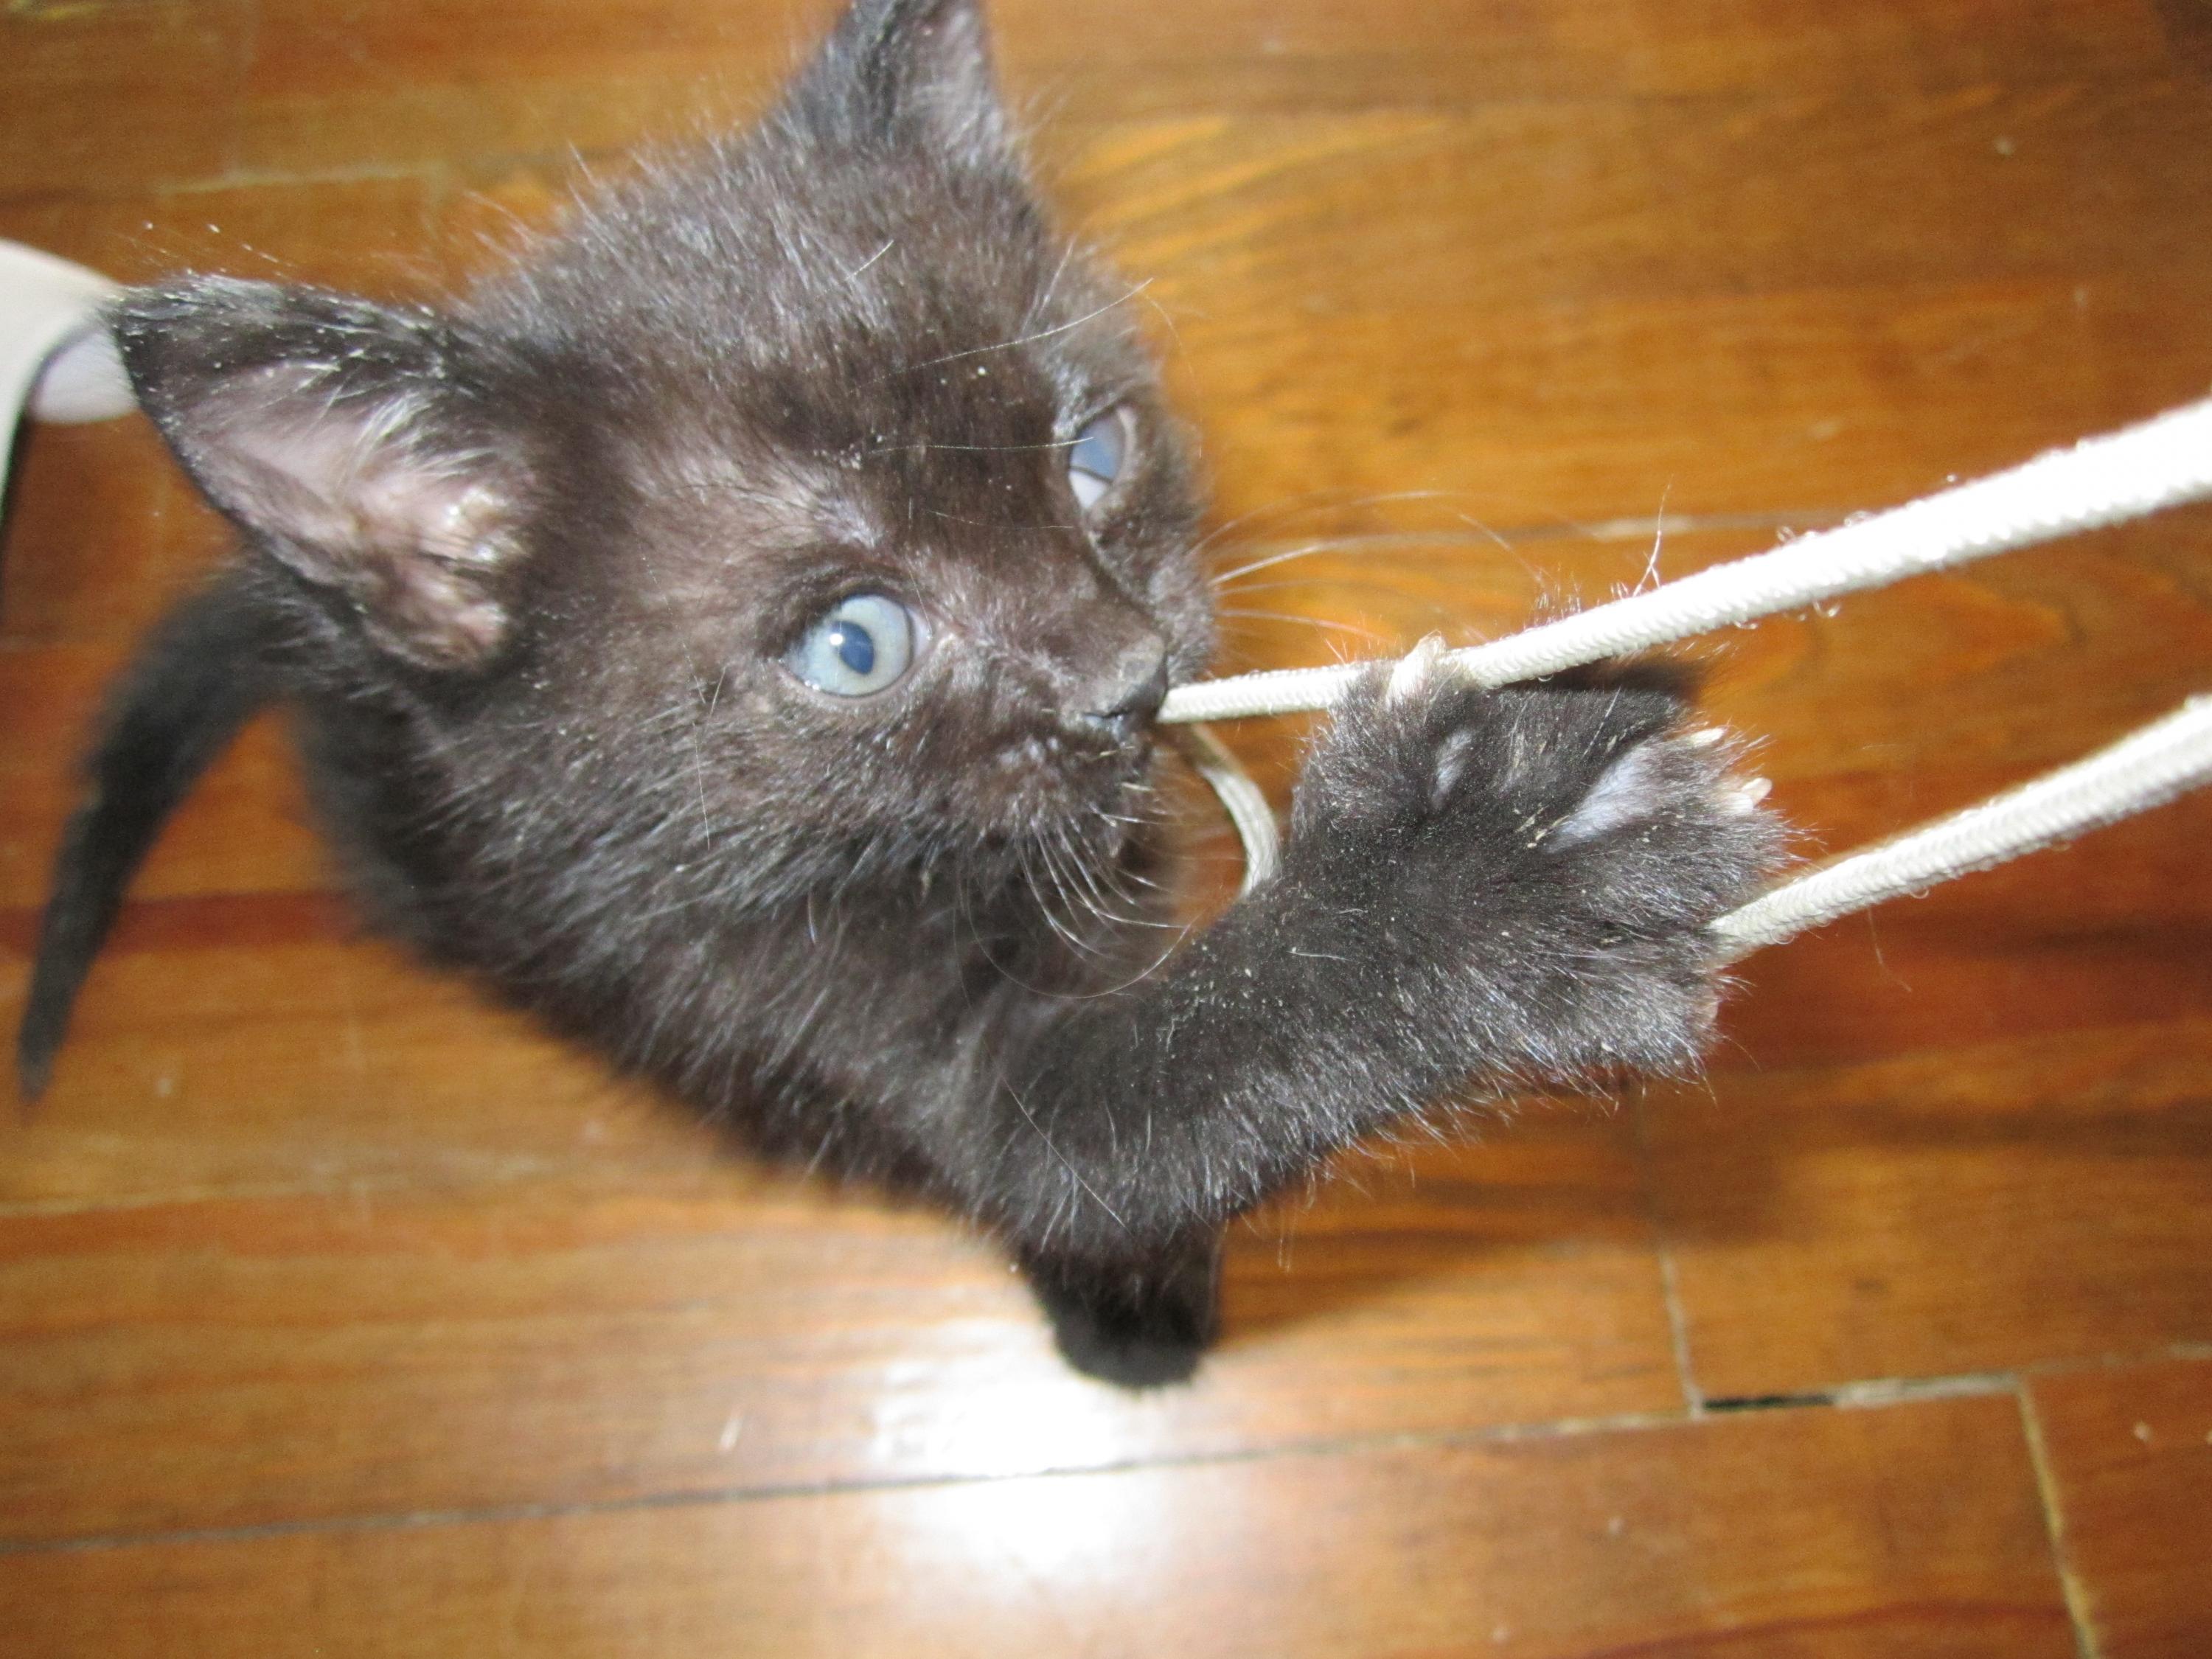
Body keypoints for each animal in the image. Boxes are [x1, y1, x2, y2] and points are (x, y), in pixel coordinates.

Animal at [15, 0, 1780, 1386]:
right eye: (855, 645)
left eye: (1094, 452)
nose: (1126, 678)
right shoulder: (762, 985)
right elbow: (1135, 1114)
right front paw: (1469, 896)